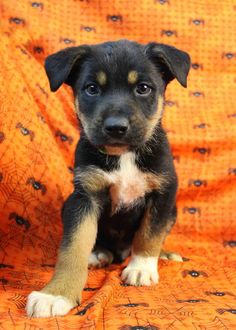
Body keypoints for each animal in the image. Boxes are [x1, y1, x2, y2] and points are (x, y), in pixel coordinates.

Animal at [26, 38, 191, 318]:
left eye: (143, 88)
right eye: (92, 89)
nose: (116, 127)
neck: (124, 156)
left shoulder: (163, 192)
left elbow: (150, 233)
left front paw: (141, 268)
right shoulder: (84, 197)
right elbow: (73, 247)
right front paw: (56, 294)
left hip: (174, 210)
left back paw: (163, 255)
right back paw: (97, 254)